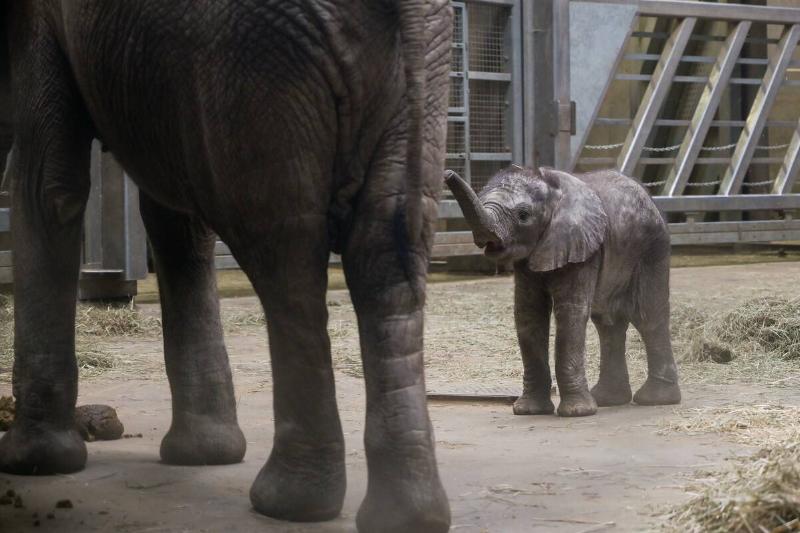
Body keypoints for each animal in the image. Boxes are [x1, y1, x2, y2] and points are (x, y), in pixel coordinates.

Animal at [0, 2, 453, 531]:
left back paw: (288, 503)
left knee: (284, 246)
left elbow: (48, 190)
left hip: (258, 59)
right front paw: (204, 456)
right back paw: (407, 516)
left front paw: (32, 463)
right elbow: (174, 215)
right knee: (386, 245)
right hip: (418, 73)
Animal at [445, 166, 681, 417]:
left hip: (652, 248)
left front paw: (577, 412)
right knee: (608, 323)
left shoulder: (583, 248)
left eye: (523, 215)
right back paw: (608, 400)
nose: (447, 172)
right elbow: (528, 314)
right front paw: (529, 411)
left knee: (648, 317)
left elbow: (569, 313)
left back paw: (655, 400)